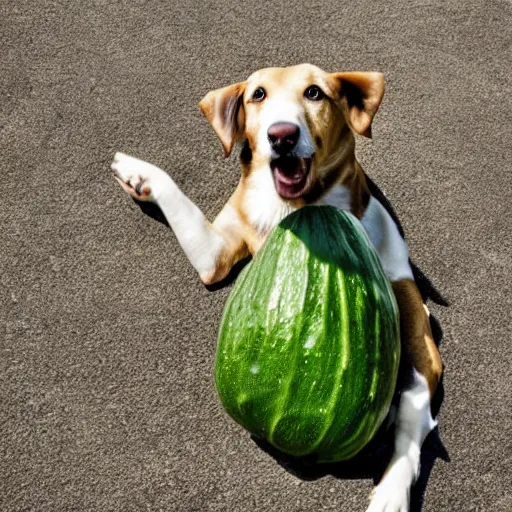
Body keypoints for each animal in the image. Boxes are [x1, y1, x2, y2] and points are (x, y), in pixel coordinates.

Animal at [112, 64, 444, 512]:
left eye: (315, 92)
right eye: (258, 95)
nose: (282, 134)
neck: (294, 209)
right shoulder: (215, 255)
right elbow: (180, 201)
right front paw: (138, 174)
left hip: (421, 347)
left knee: (413, 422)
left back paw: (391, 494)